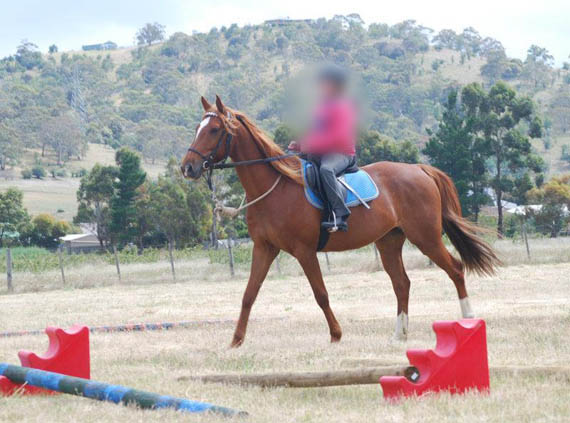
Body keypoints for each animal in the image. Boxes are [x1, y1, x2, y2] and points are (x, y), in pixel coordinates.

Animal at [181, 95, 500, 347]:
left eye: (213, 130)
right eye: (198, 129)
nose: (188, 167)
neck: (274, 186)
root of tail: (420, 169)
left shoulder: (304, 251)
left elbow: (321, 294)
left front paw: (336, 334)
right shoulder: (264, 248)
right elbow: (249, 294)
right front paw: (235, 340)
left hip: (426, 238)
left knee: (455, 269)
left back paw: (468, 322)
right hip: (389, 242)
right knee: (402, 284)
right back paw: (399, 335)